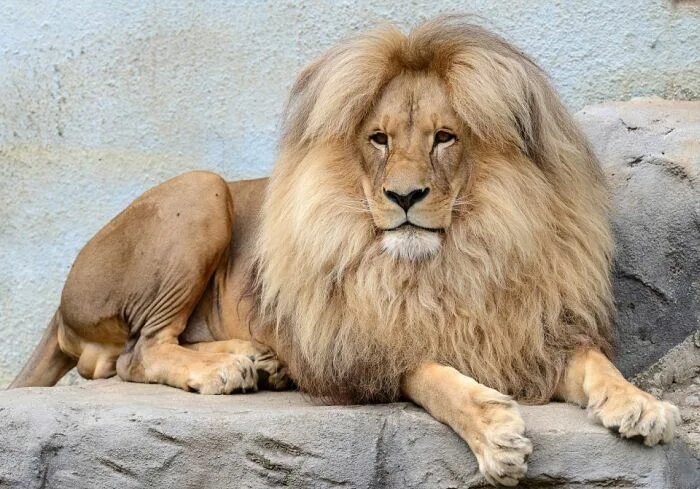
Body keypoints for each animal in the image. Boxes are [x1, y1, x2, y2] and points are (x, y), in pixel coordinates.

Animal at [9, 17, 680, 486]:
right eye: (378, 139)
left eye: (444, 137)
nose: (404, 196)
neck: (452, 261)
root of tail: (59, 308)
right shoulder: (366, 344)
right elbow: (433, 375)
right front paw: (494, 430)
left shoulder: (530, 333)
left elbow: (596, 363)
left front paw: (644, 405)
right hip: (201, 190)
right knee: (136, 355)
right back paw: (228, 367)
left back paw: (263, 363)